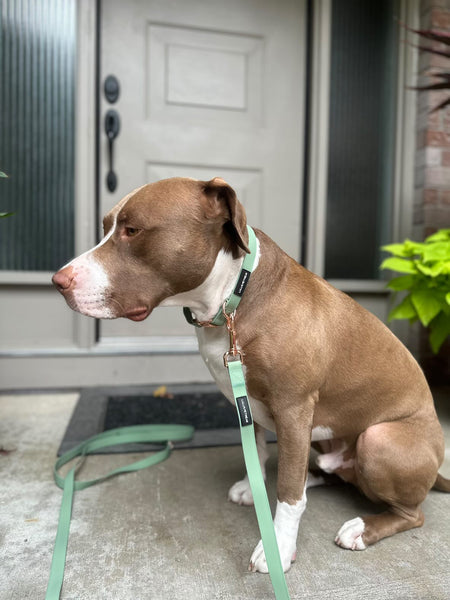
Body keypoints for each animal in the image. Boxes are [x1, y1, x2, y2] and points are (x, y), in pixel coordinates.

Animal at [53, 177, 450, 572]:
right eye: (105, 227)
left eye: (133, 230)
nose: (58, 280)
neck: (231, 299)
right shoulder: (247, 401)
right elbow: (257, 451)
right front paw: (252, 487)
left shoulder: (293, 410)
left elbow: (288, 493)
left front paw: (279, 546)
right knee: (325, 472)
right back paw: (316, 475)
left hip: (378, 439)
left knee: (410, 513)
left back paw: (362, 528)